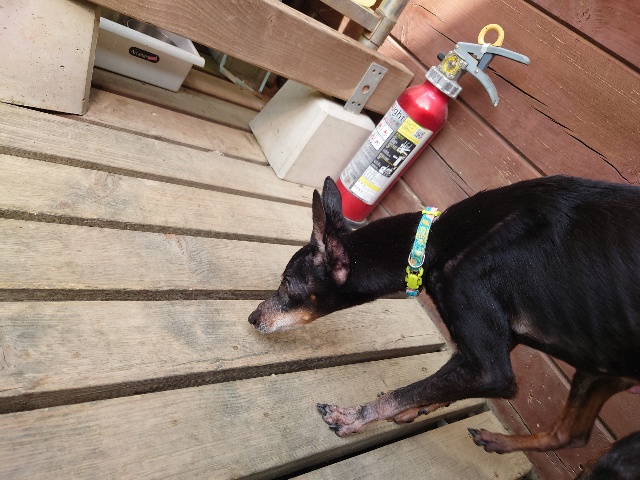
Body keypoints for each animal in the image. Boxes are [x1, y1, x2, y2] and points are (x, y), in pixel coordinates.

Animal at [248, 175, 640, 457]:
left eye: (287, 284)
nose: (253, 317)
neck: (432, 243)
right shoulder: (494, 339)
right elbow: (439, 378)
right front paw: (414, 410)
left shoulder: (489, 362)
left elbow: (411, 391)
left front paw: (355, 418)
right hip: (600, 369)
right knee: (570, 434)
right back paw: (498, 441)